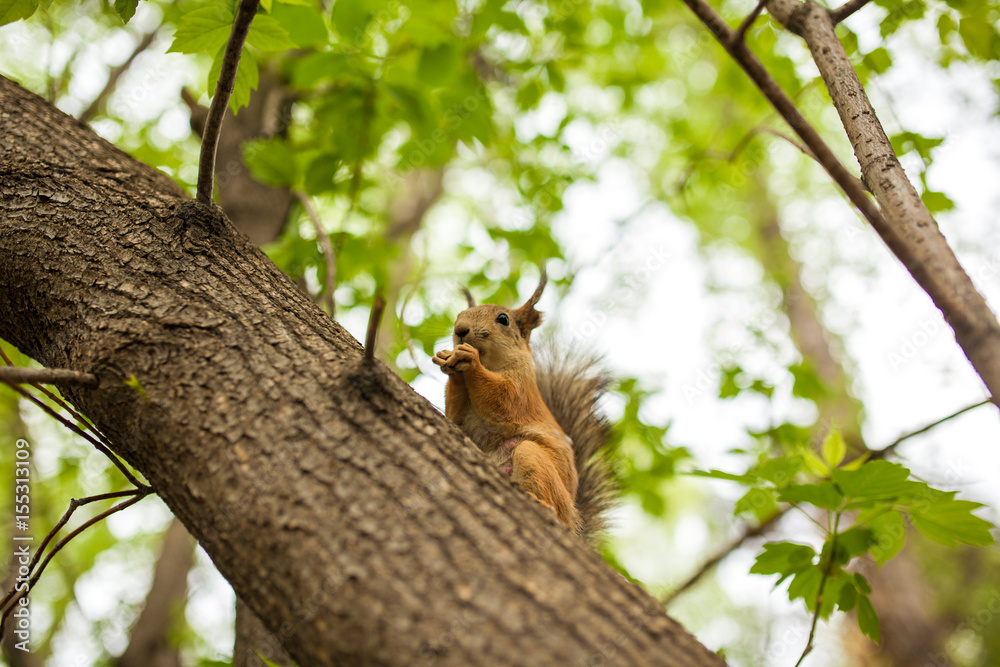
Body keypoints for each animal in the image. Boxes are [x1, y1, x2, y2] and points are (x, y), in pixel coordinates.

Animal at [432, 268, 615, 541]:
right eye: (458, 315)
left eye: (503, 319)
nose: (460, 330)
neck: (492, 364)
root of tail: (573, 523)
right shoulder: (460, 416)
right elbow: (454, 418)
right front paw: (448, 362)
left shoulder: (522, 387)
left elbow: (500, 399)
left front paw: (470, 360)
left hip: (531, 457)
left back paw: (544, 506)